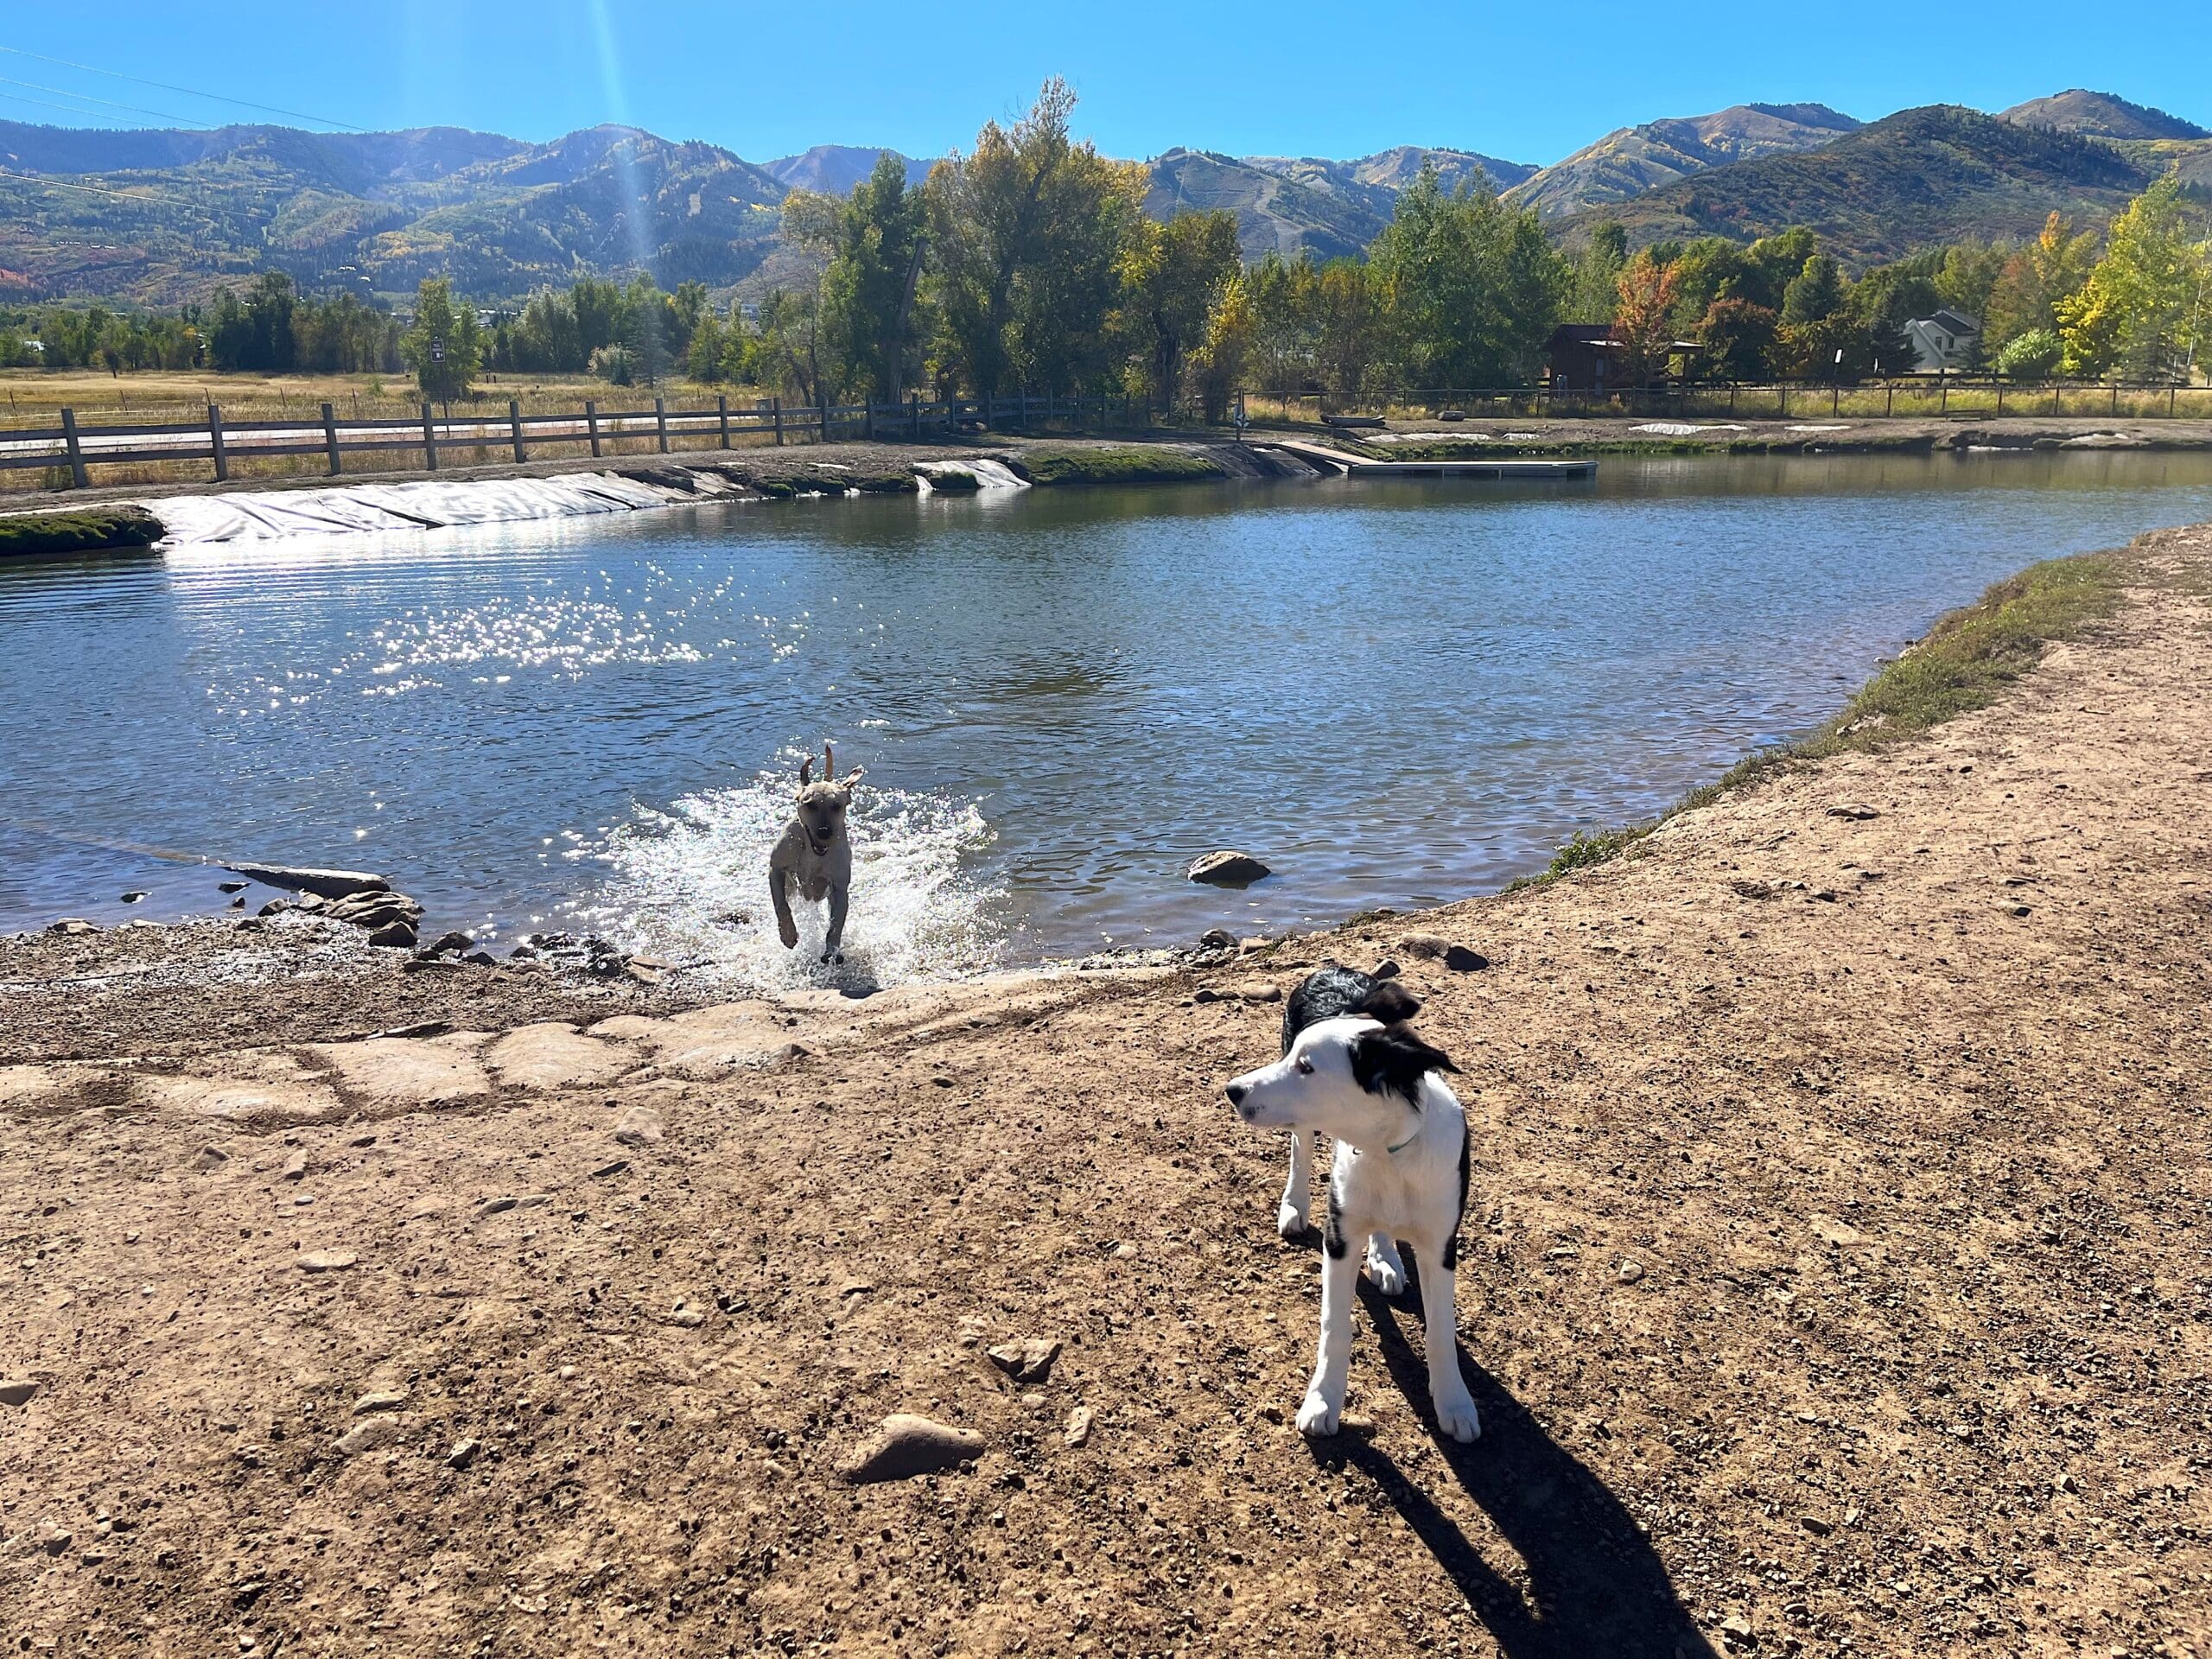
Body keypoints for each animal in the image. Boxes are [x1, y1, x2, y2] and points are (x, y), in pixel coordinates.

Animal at [765, 747, 858, 969]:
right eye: (810, 804)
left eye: (837, 806)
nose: (824, 832)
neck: (813, 852)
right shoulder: (776, 869)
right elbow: (781, 905)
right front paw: (788, 934)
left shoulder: (839, 887)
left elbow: (836, 924)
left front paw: (832, 950)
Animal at [1221, 969, 1478, 1451]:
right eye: (1295, 1058)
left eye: (1307, 1067)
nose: (1233, 1090)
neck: (1387, 1151)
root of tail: (1333, 969)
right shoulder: (1338, 1237)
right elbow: (1334, 1328)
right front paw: (1323, 1402)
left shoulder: (1441, 1246)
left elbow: (1441, 1329)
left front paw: (1454, 1401)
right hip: (1305, 1130)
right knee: (1300, 1150)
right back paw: (1295, 1205)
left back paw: (1384, 1257)